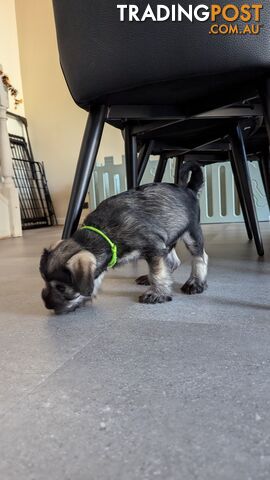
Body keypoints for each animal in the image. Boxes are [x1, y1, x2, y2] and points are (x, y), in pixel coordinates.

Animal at [40, 161, 208, 316]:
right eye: (44, 281)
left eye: (61, 287)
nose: (47, 305)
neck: (105, 233)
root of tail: (189, 189)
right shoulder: (157, 247)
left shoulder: (153, 247)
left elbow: (158, 272)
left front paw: (157, 293)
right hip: (169, 236)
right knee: (173, 261)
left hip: (191, 233)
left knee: (200, 257)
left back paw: (195, 283)